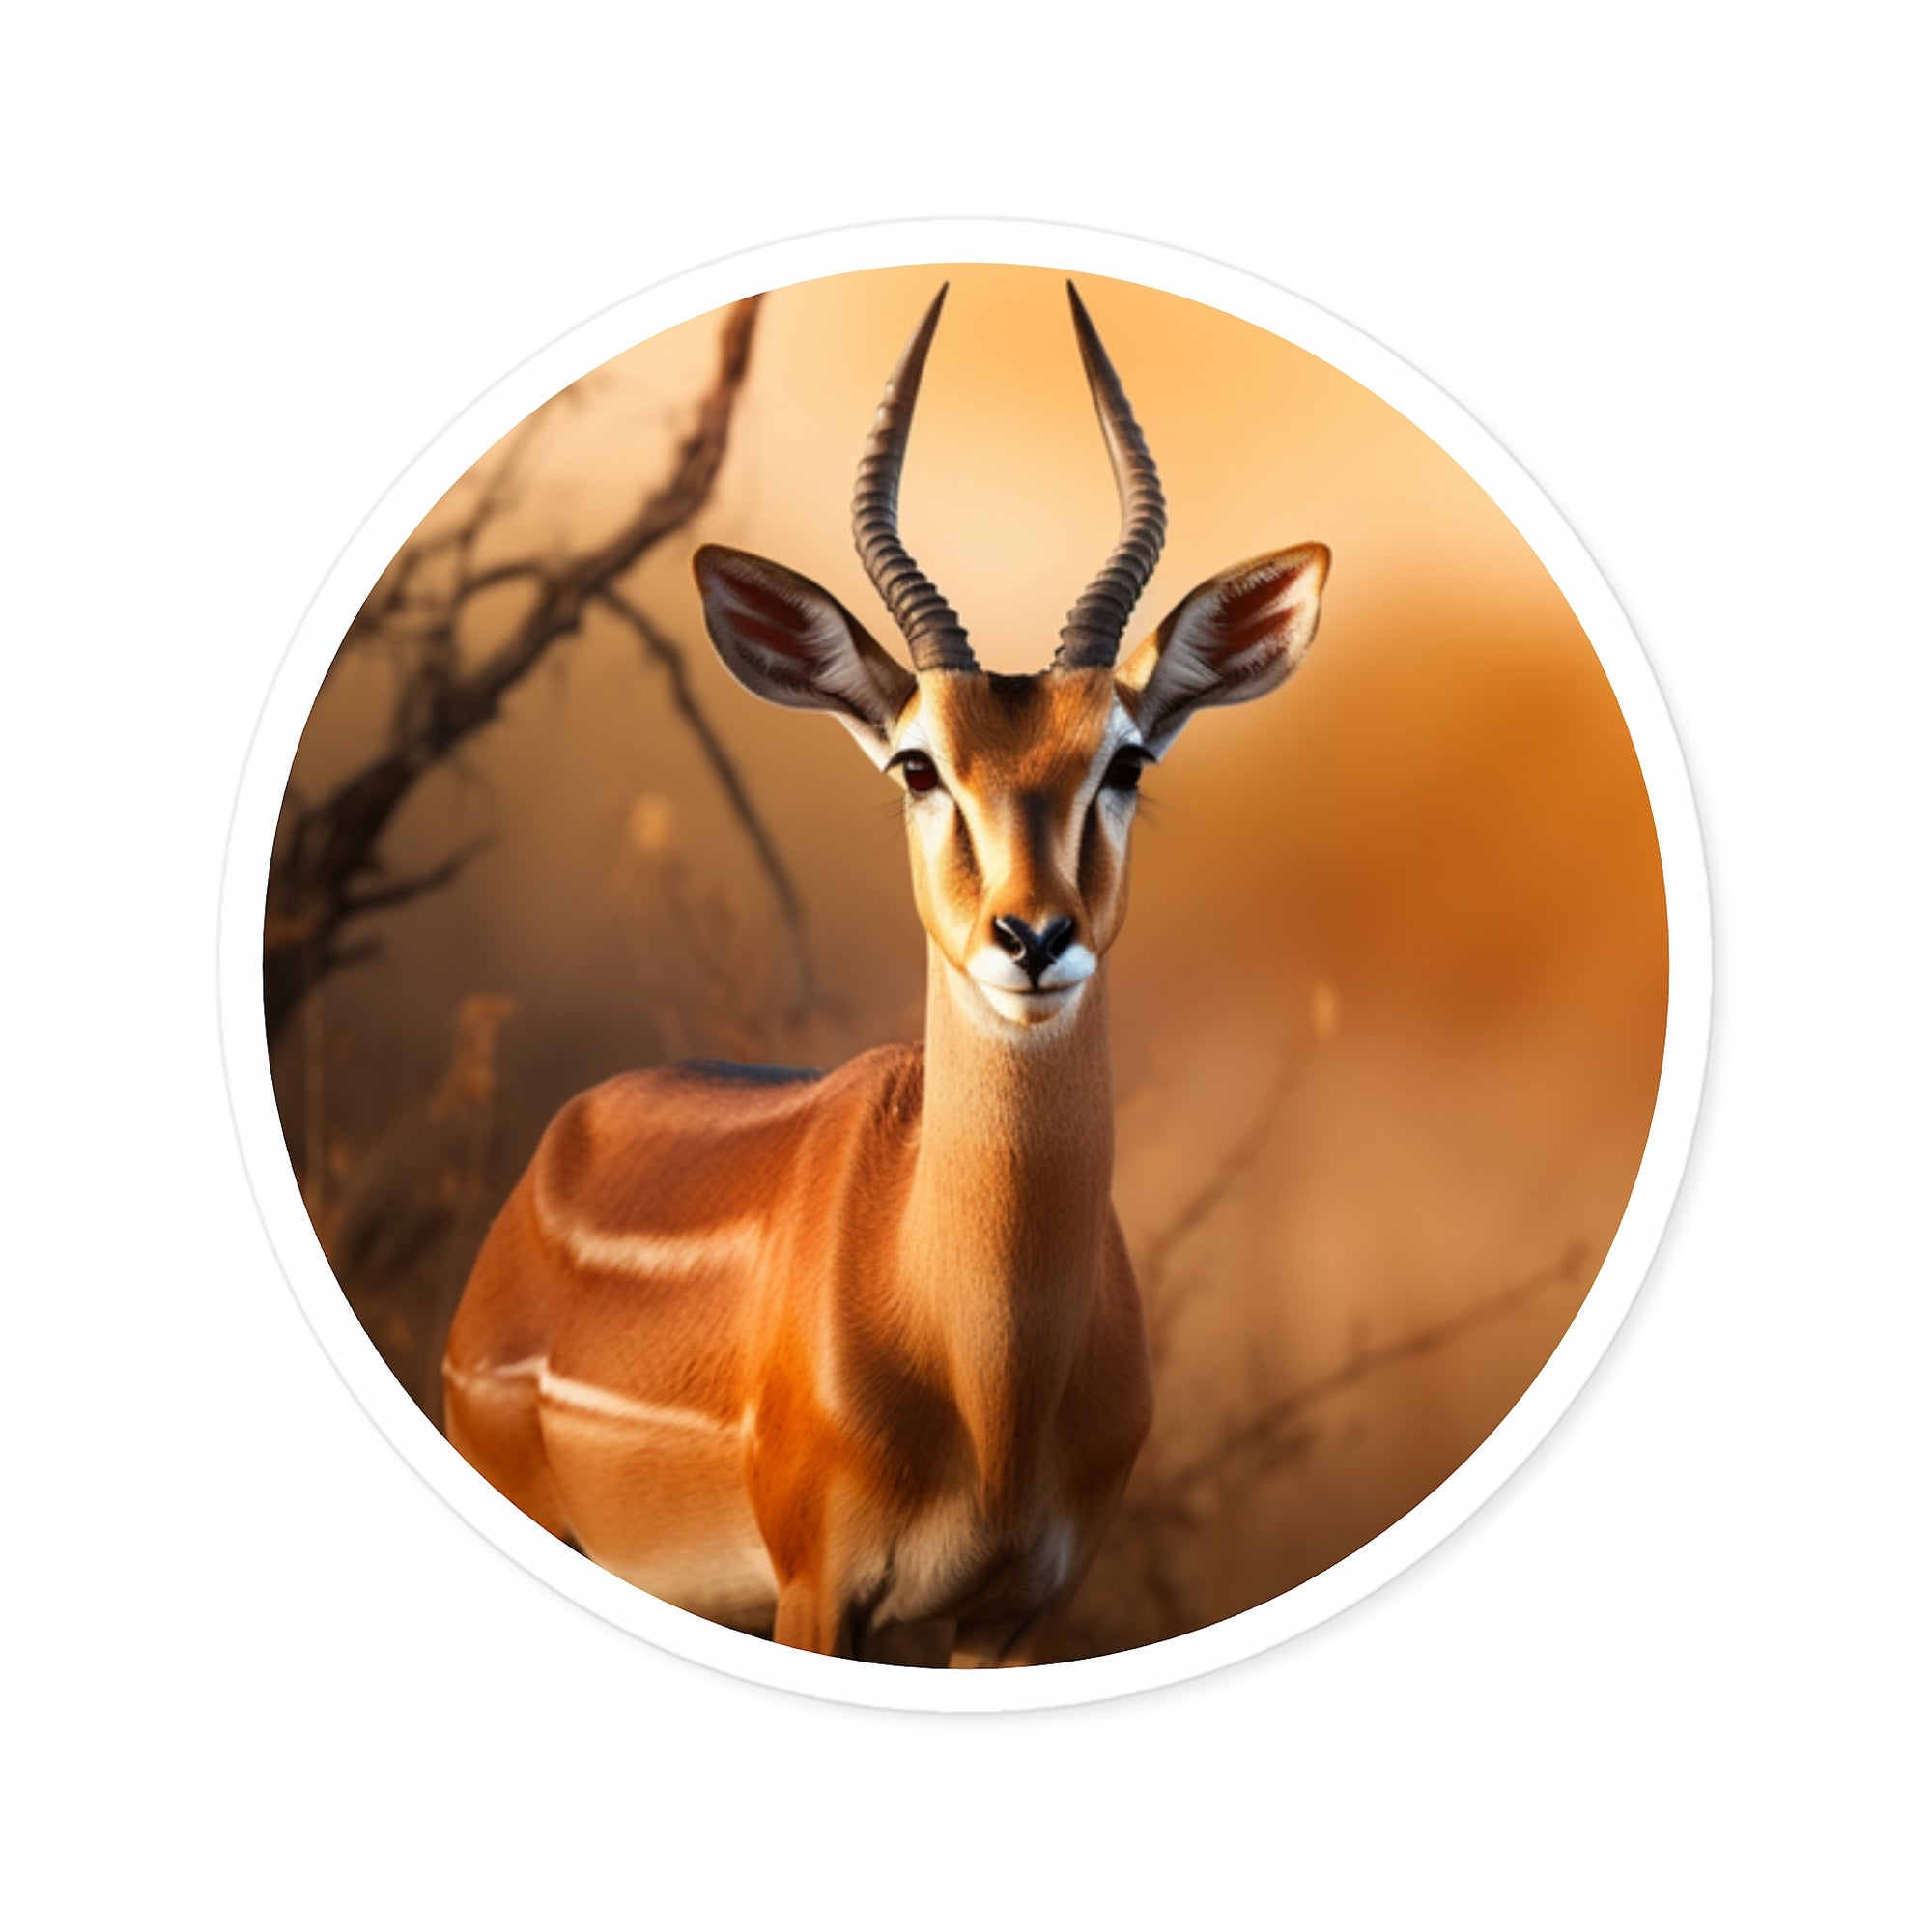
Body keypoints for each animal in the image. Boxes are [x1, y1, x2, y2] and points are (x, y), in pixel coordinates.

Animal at [443, 283, 1329, 1665]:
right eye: (918, 762)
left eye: (1125, 758)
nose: (1033, 936)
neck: (988, 1378)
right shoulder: (822, 1592)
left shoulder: (1016, 1613)